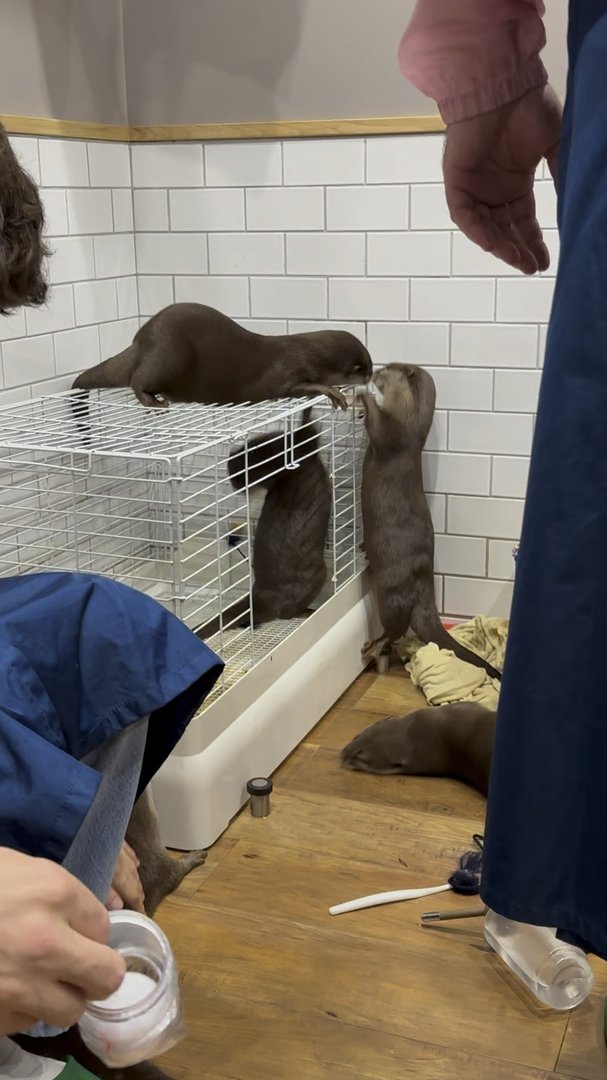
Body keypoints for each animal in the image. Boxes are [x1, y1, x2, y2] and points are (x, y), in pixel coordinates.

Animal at [0, 393, 371, 846]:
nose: (233, 471)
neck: (290, 468)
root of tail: (258, 595)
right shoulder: (305, 444)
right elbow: (306, 421)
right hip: (315, 572)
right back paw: (307, 608)